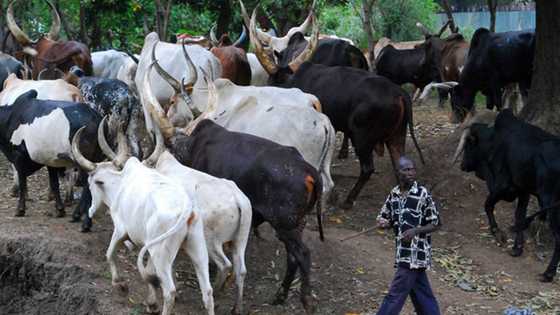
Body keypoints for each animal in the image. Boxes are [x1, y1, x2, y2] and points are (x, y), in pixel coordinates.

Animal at [0, 89, 103, 232]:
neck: (10, 116)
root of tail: (95, 117)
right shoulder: (51, 161)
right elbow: (54, 184)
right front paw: (60, 210)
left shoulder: (19, 156)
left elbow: (22, 183)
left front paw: (20, 210)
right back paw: (78, 216)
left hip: (83, 161)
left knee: (88, 187)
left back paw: (84, 221)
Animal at [73, 126, 213, 315]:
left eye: (92, 182)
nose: (90, 211)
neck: (120, 184)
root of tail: (187, 210)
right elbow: (149, 273)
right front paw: (151, 302)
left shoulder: (121, 230)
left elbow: (110, 253)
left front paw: (119, 284)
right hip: (196, 248)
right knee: (207, 292)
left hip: (160, 252)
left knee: (170, 291)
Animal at [145, 124, 250, 314]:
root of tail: (238, 199)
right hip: (240, 239)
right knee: (241, 270)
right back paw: (236, 307)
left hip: (210, 241)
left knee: (225, 265)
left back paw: (217, 293)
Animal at [458, 110, 560, 282]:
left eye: (468, 145)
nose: (462, 165)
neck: (494, 141)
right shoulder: (523, 191)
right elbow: (519, 216)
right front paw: (517, 248)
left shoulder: (503, 186)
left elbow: (488, 205)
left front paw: (497, 233)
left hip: (551, 206)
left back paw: (548, 273)